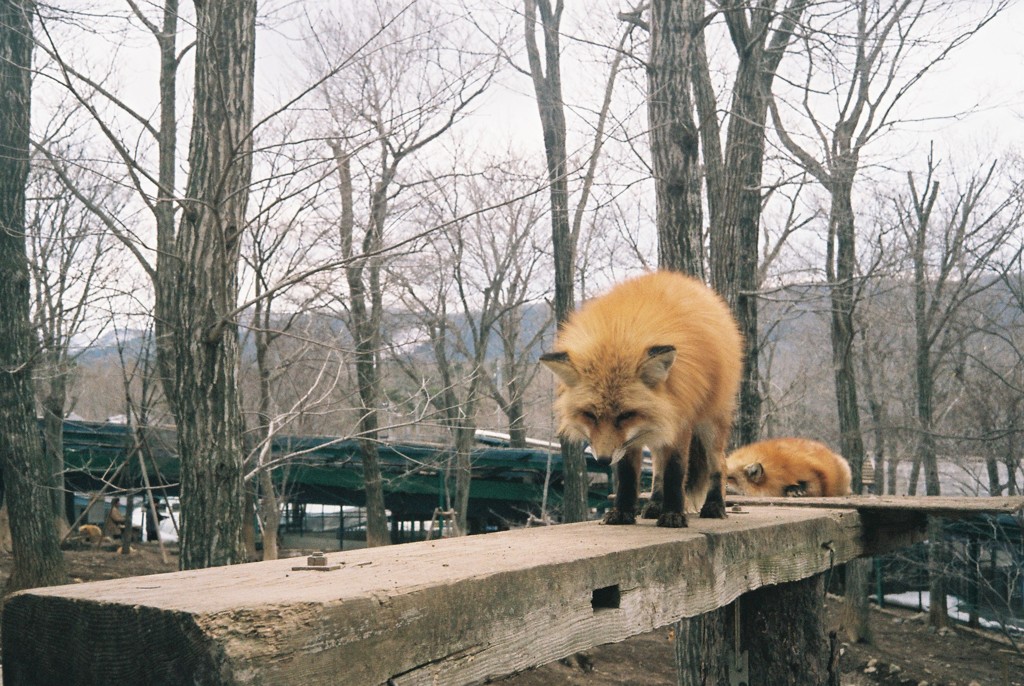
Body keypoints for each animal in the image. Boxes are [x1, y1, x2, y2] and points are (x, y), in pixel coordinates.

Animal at [536, 272, 745, 528]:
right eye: (590, 415)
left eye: (626, 415)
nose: (603, 460)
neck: (620, 333)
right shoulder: (632, 438)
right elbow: (629, 476)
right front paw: (622, 512)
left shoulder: (679, 419)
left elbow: (675, 472)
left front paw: (673, 514)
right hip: (656, 429)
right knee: (657, 469)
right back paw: (654, 504)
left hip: (710, 422)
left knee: (719, 464)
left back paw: (714, 505)